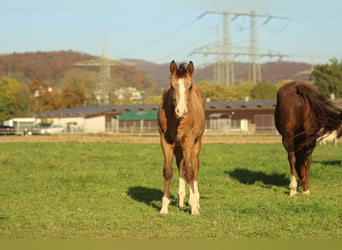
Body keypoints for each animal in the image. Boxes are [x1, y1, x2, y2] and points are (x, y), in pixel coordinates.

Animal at [158, 60, 204, 215]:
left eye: (189, 86)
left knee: (194, 166)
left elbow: (190, 172)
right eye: (172, 86)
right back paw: (181, 200)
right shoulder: (165, 141)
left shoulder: (189, 141)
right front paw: (164, 207)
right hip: (178, 147)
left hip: (196, 143)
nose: (181, 111)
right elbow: (168, 171)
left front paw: (194, 208)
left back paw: (195, 200)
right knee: (180, 165)